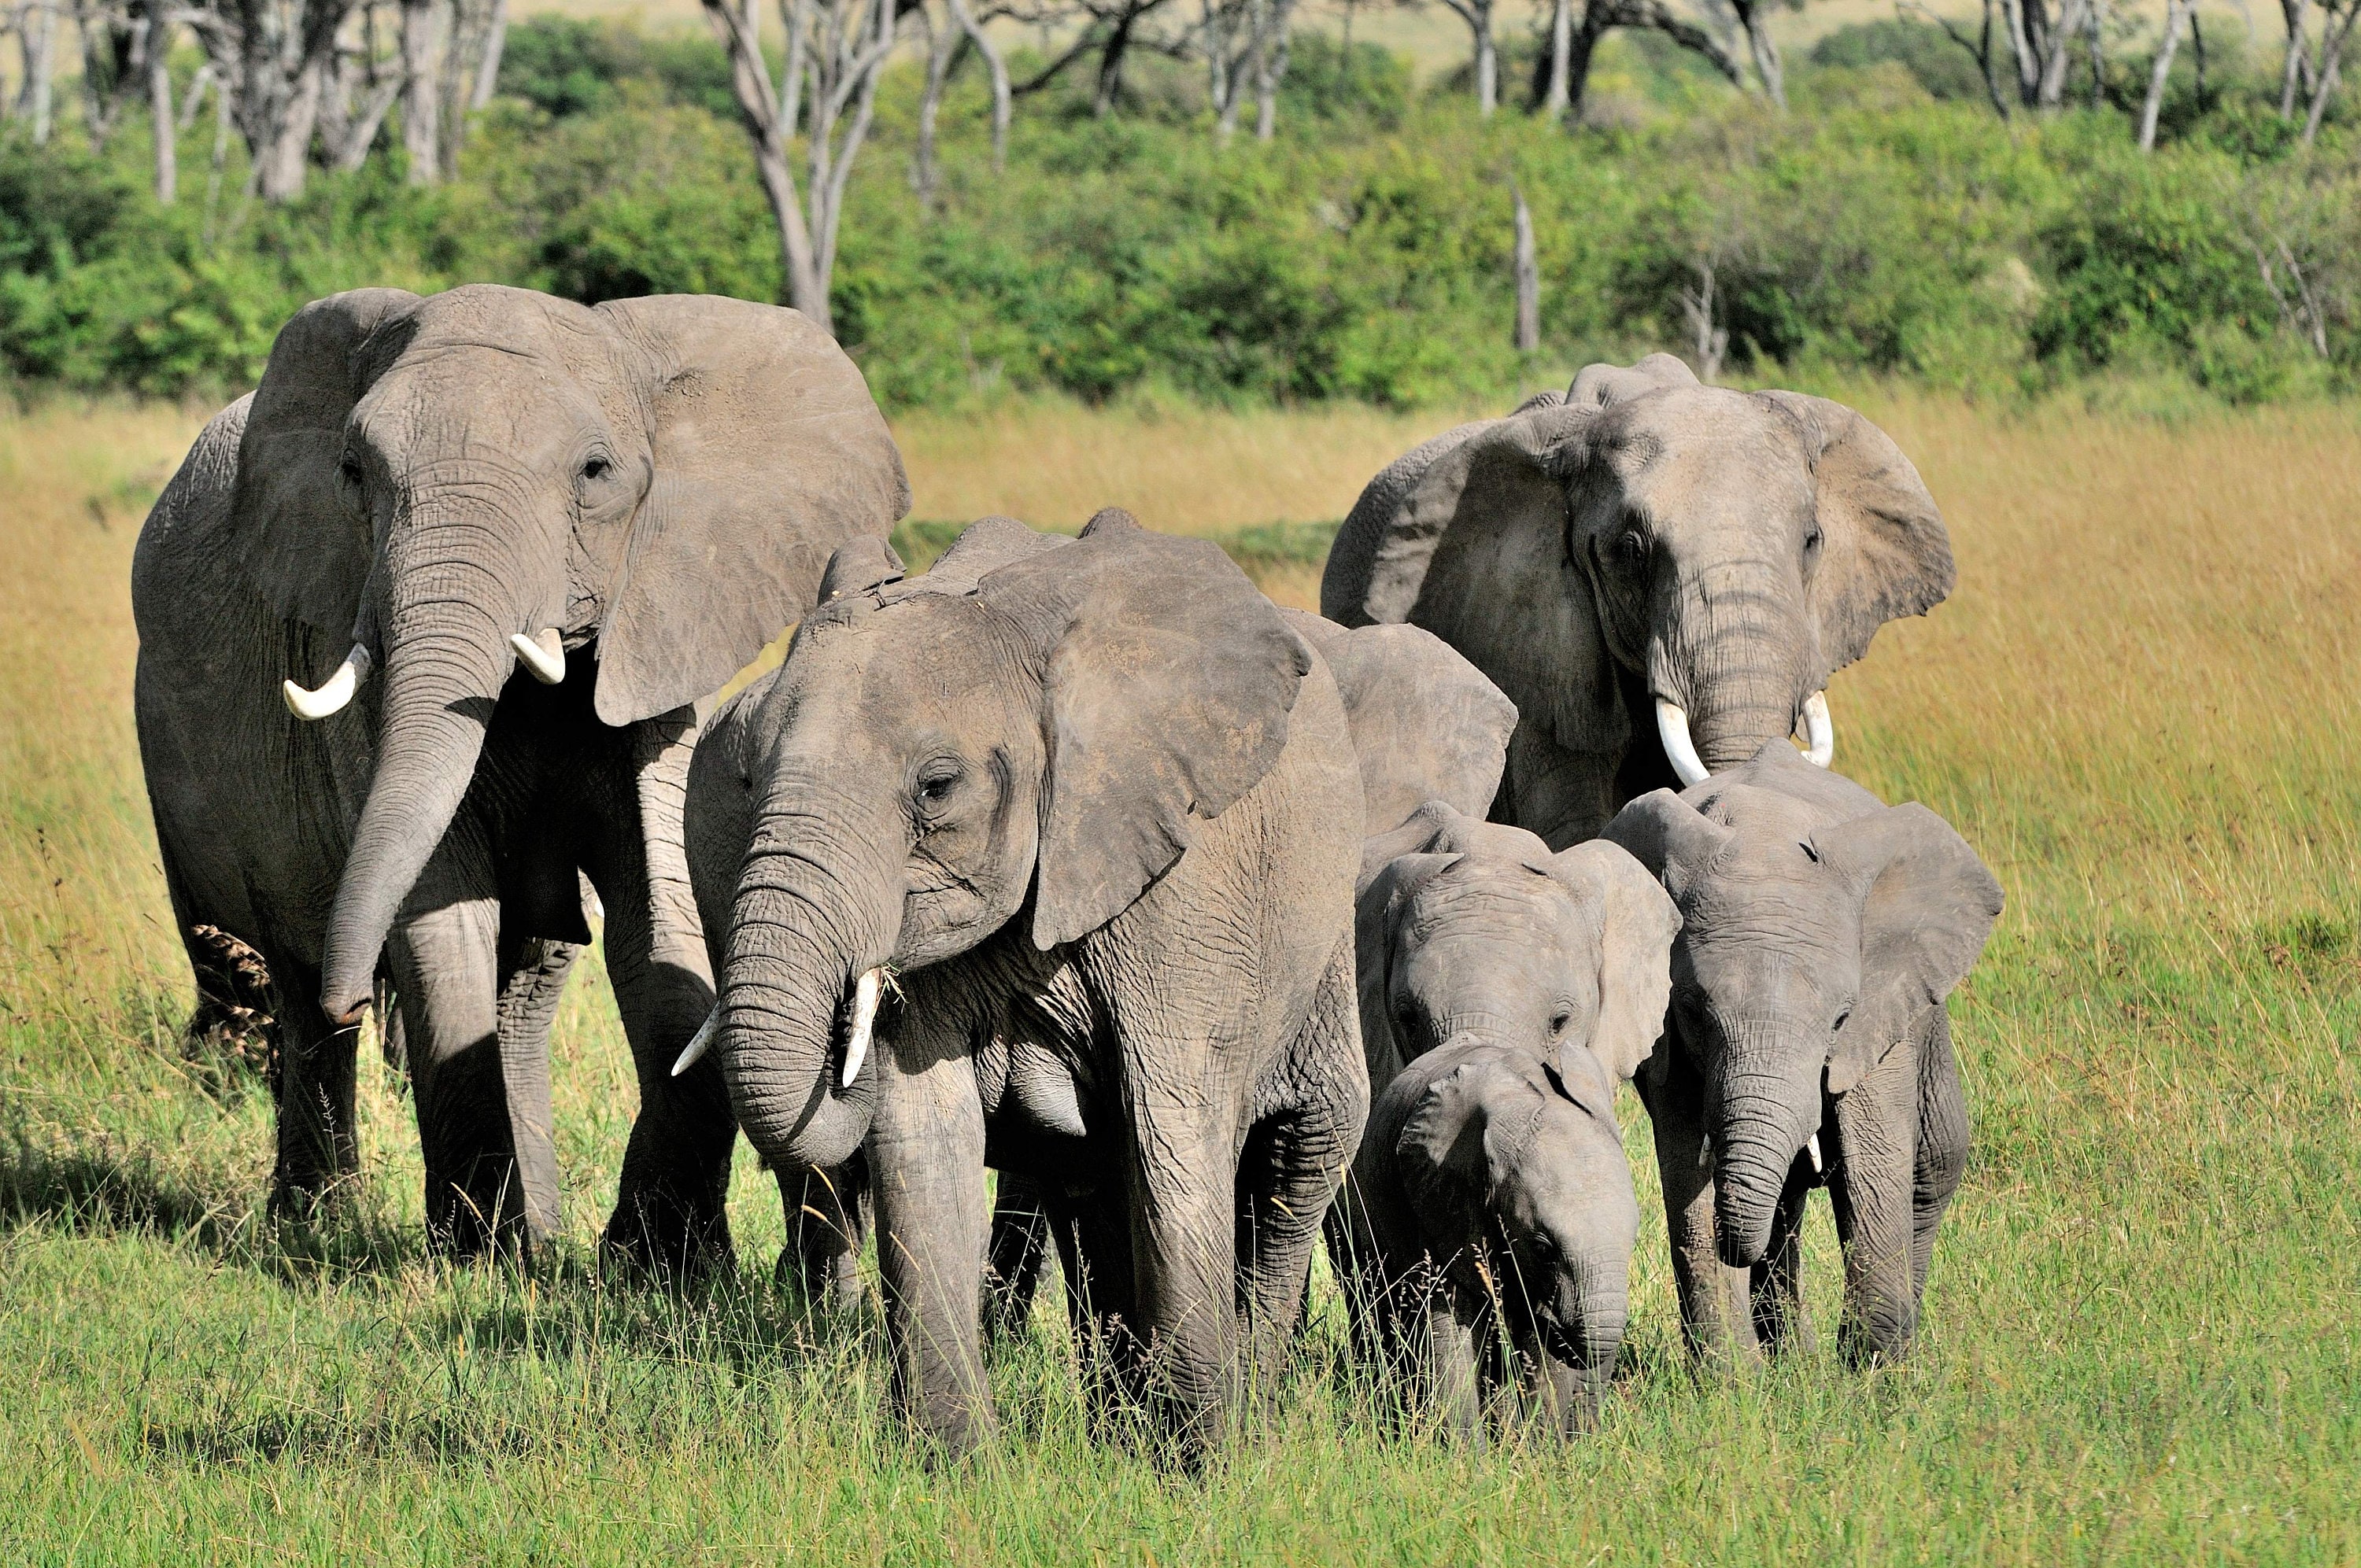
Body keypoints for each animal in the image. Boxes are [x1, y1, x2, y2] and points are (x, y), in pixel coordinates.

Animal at [132, 284, 907, 1266]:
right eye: (353, 471)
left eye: (595, 472)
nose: (357, 990)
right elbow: (440, 912)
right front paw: (475, 1257)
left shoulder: (654, 639)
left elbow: (657, 918)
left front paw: (658, 1262)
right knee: (291, 978)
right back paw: (322, 1220)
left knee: (520, 983)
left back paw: (533, 1229)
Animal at [680, 511, 1369, 1455]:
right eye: (748, 781)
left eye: (936, 787)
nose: (840, 1024)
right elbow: (923, 1138)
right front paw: (956, 1464)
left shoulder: (1185, 887)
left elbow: (1175, 1136)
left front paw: (1203, 1465)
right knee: (1091, 1182)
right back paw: (1121, 1431)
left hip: (1324, 940)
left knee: (1299, 1153)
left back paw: (1244, 1423)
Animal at [1602, 742, 2003, 1366]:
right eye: (1692, 1009)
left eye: (1840, 1018)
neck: (1766, 828)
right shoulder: (1665, 1035)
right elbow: (1685, 1164)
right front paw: (1733, 1379)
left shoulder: (1878, 1016)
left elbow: (1875, 1156)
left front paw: (1871, 1373)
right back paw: (1789, 1358)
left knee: (1933, 1165)